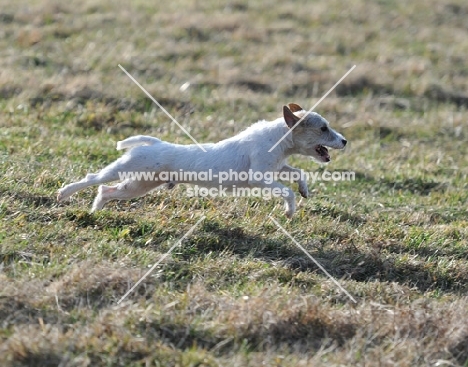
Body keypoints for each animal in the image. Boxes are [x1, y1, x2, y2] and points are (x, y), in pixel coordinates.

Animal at [56, 103, 346, 218]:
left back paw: (95, 210)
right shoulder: (259, 179)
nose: (344, 141)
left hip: (137, 185)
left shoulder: (278, 168)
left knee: (106, 190)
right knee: (94, 179)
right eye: (323, 128)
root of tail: (155, 143)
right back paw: (64, 194)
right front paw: (289, 211)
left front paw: (305, 190)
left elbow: (297, 172)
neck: (279, 139)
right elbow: (287, 192)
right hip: (124, 170)